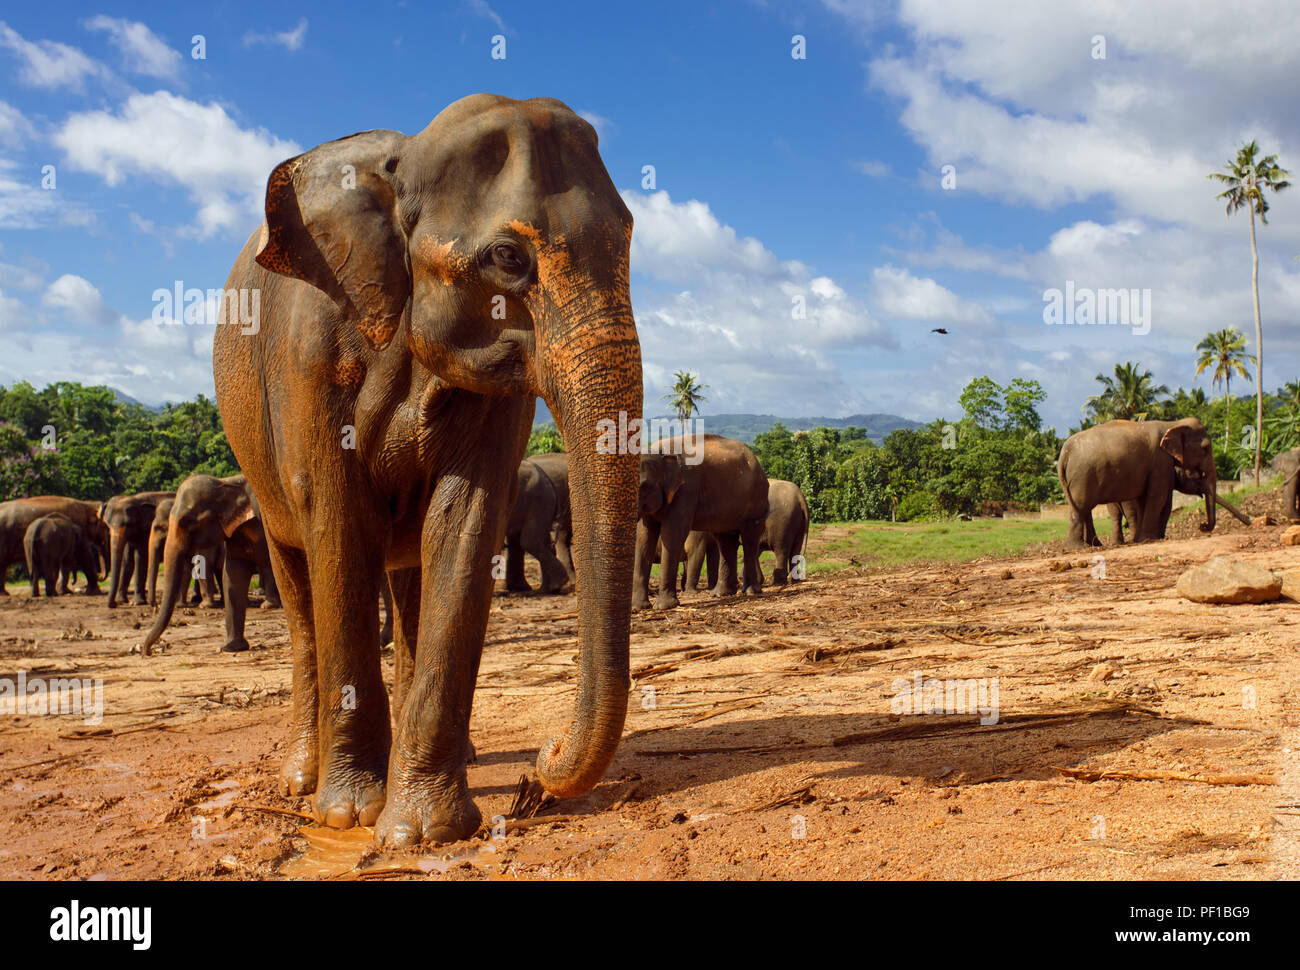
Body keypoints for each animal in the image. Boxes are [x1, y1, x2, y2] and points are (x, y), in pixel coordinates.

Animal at [139, 474, 275, 656]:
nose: (147, 652)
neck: (227, 483)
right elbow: (232, 574)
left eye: (186, 522)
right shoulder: (233, 531)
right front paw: (231, 647)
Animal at [633, 434, 769, 610]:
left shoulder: (687, 489)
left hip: (756, 499)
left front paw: (664, 607)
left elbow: (673, 533)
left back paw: (751, 591)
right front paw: (638, 607)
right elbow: (644, 537)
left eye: (643, 486)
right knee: (725, 540)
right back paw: (721, 593)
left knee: (749, 539)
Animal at [1058, 418, 1216, 548]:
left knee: (1084, 508)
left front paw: (1139, 539)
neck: (1172, 424)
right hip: (1083, 477)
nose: (1202, 526)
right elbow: (1158, 498)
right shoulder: (1160, 463)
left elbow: (1143, 500)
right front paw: (1149, 539)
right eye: (1205, 448)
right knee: (1081, 507)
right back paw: (1079, 547)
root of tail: (1064, 452)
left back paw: (1095, 544)